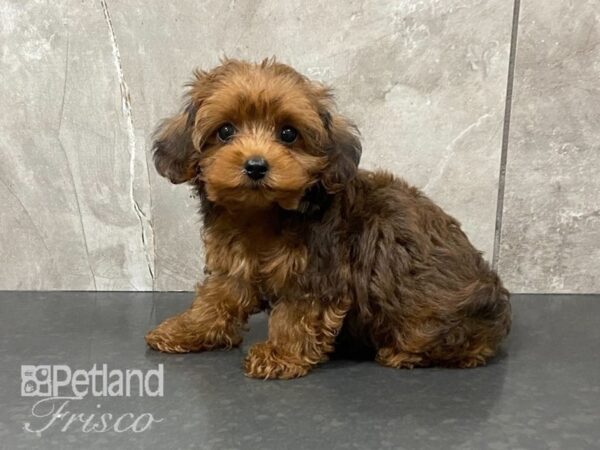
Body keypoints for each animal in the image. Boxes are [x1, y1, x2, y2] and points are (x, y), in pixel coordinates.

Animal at [145, 58, 510, 378]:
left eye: (288, 134)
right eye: (225, 131)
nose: (256, 166)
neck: (263, 212)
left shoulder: (318, 273)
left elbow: (296, 315)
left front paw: (280, 354)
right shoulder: (233, 266)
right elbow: (216, 299)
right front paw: (186, 330)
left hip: (435, 318)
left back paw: (403, 353)